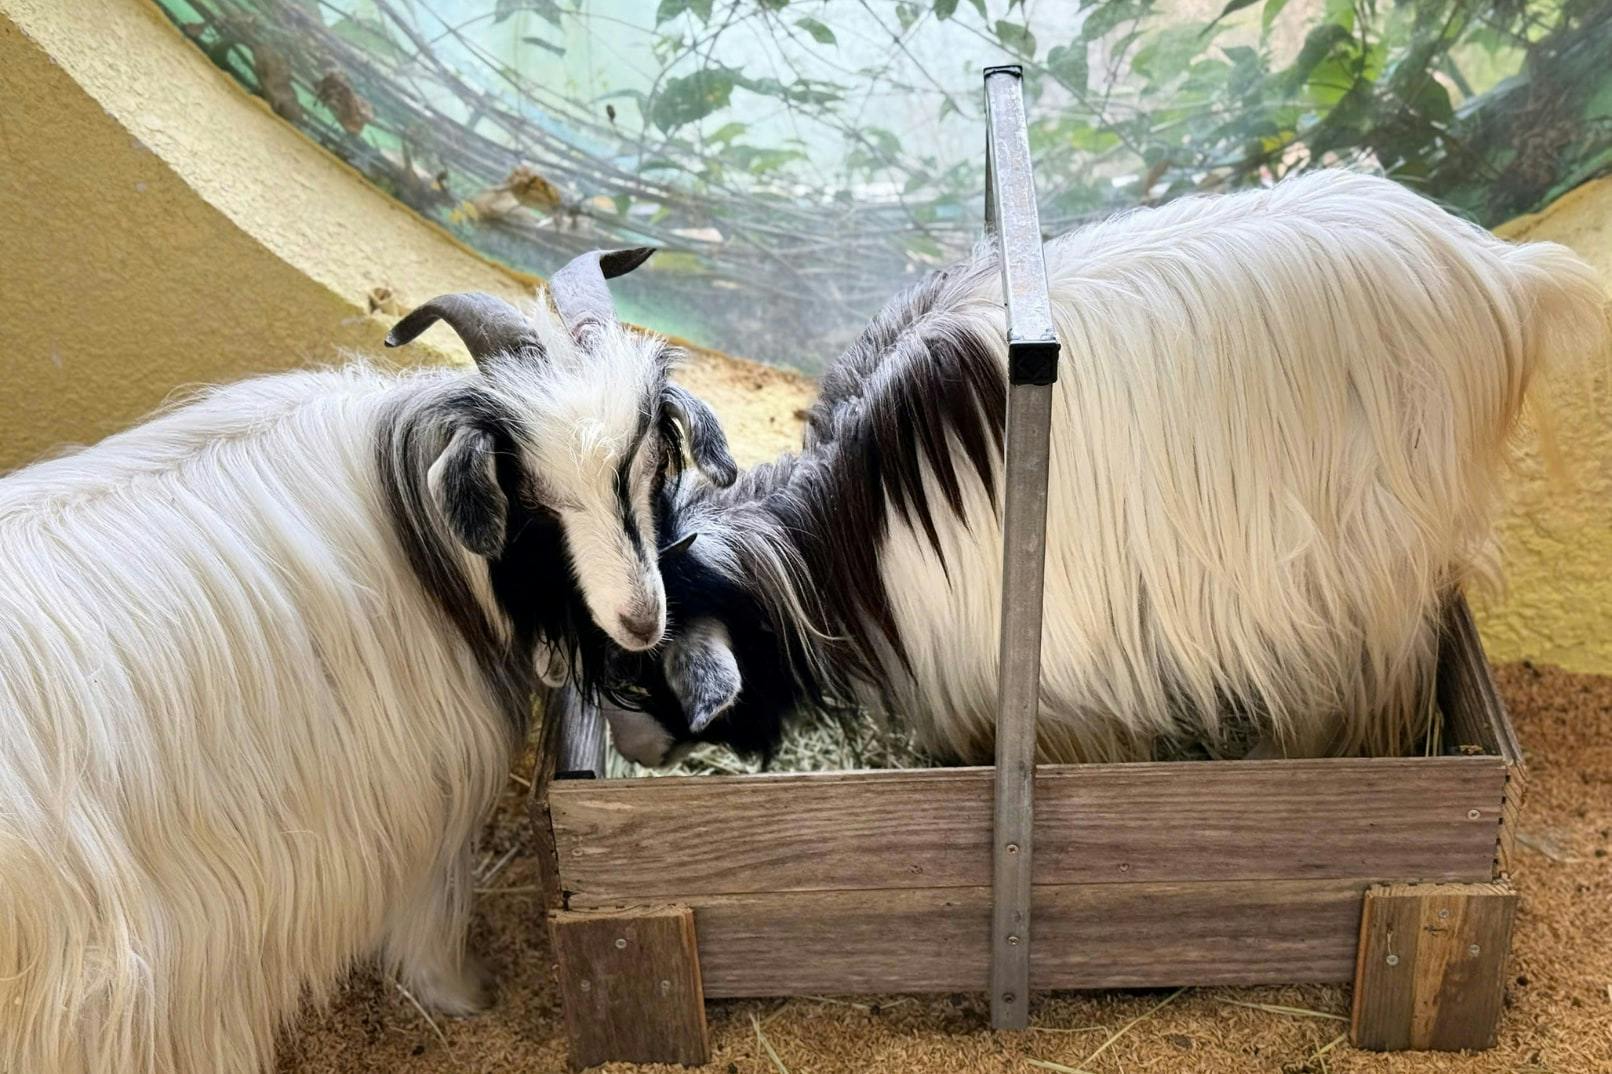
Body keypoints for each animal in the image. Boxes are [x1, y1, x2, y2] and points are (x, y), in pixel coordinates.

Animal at [0, 248, 735, 1074]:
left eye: (649, 466)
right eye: (534, 496)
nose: (641, 618)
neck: (410, 516)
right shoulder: (412, 803)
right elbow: (430, 919)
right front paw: (466, 996)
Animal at [600, 171, 1608, 768]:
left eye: (642, 679)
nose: (633, 747)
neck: (855, 535)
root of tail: (1501, 272)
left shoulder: (1053, 687)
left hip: (1368, 553)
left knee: (1365, 673)